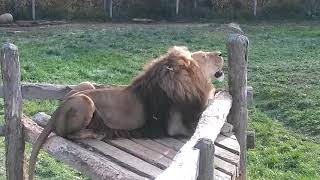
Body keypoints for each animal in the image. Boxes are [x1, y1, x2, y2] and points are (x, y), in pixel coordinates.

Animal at [28, 45, 224, 179]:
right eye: (205, 55)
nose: (221, 53)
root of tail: (56, 111)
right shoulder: (175, 127)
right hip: (85, 101)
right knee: (68, 135)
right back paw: (98, 133)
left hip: (86, 84)